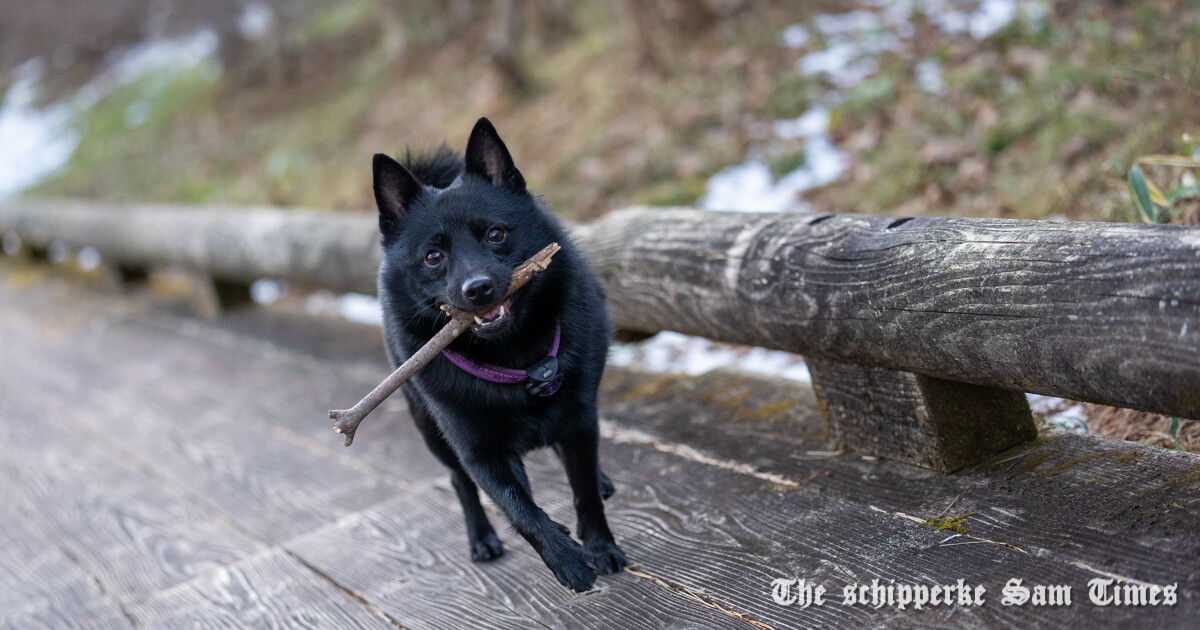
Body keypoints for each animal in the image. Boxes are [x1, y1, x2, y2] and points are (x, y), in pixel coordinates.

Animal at [372, 116, 628, 590]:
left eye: (495, 234)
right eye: (433, 256)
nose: (478, 288)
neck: (517, 360)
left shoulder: (580, 418)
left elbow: (583, 490)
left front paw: (600, 545)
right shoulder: (482, 454)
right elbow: (519, 509)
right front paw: (566, 558)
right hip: (429, 429)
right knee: (459, 484)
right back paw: (481, 538)